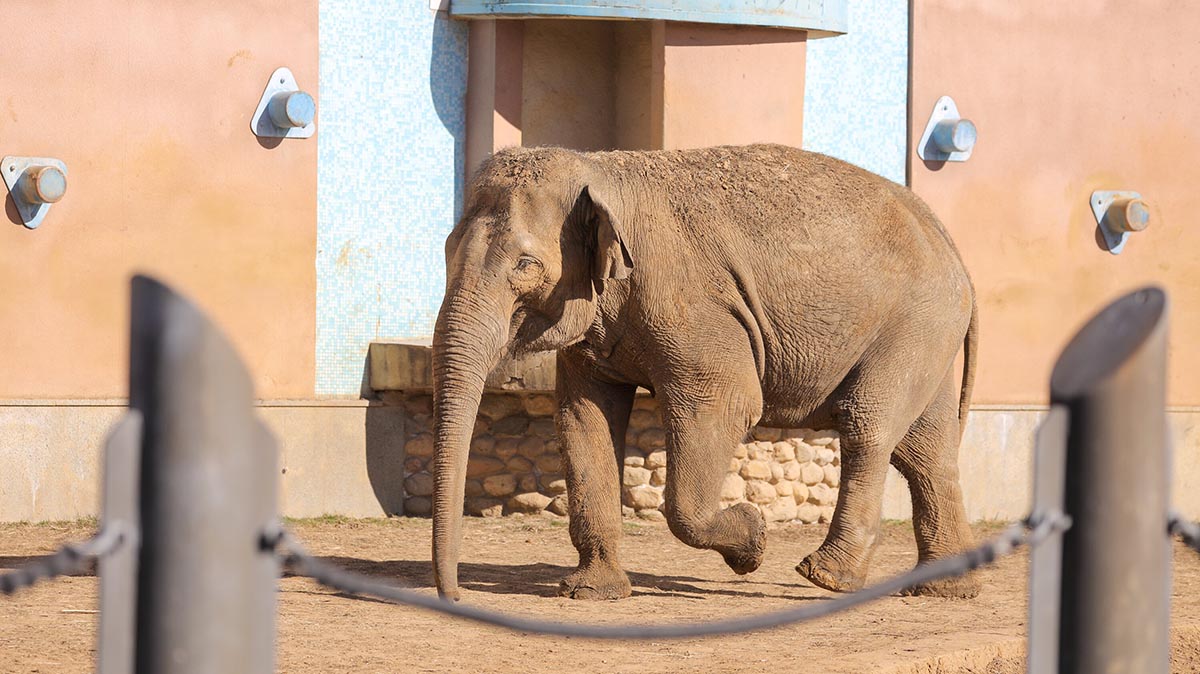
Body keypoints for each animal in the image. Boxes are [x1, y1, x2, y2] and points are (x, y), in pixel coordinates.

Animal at [427, 141, 979, 597]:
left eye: (525, 264)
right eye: (447, 249)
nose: (455, 596)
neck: (601, 170)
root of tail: (949, 241)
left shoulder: (693, 308)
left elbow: (727, 405)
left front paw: (753, 542)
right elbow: (584, 419)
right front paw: (589, 592)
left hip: (913, 323)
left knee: (867, 428)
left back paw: (824, 576)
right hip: (926, 334)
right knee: (925, 450)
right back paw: (944, 590)